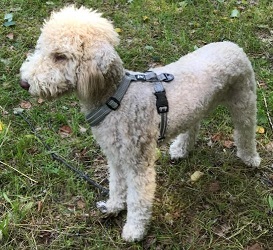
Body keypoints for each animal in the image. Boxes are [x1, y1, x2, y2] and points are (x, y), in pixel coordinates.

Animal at [20, 5, 260, 242]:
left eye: (60, 56)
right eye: (41, 48)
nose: (24, 83)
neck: (115, 98)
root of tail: (231, 44)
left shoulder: (138, 162)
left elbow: (138, 200)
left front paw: (135, 230)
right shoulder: (115, 156)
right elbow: (116, 185)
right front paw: (114, 207)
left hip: (244, 101)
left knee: (246, 132)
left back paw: (250, 158)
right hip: (199, 106)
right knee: (193, 126)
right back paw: (181, 148)